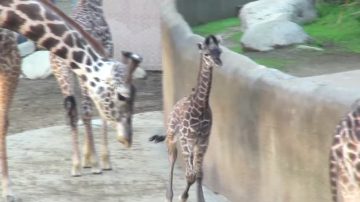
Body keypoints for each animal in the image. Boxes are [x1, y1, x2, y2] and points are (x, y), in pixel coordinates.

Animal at [149, 35, 222, 202]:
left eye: (220, 52)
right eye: (206, 54)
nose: (219, 62)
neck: (200, 106)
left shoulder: (203, 140)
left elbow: (199, 174)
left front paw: (199, 198)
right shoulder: (185, 138)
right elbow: (190, 175)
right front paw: (182, 196)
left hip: (192, 144)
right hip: (173, 137)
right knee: (172, 159)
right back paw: (169, 195)